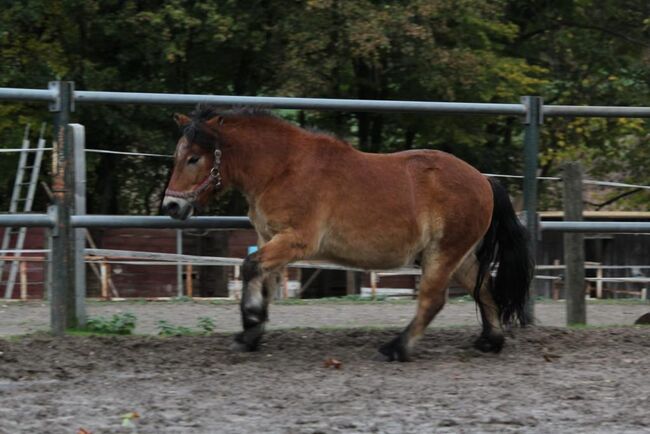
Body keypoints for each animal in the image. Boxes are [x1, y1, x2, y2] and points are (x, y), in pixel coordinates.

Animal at [162, 104, 532, 360]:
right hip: (458, 256)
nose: (171, 206)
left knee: (432, 299)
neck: (282, 168)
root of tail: (483, 180)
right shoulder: (269, 239)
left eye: (194, 158)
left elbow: (250, 267)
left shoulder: (296, 241)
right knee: (483, 288)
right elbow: (263, 281)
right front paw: (250, 335)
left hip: (443, 254)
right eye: (178, 156)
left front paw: (251, 321)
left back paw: (396, 348)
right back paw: (490, 341)